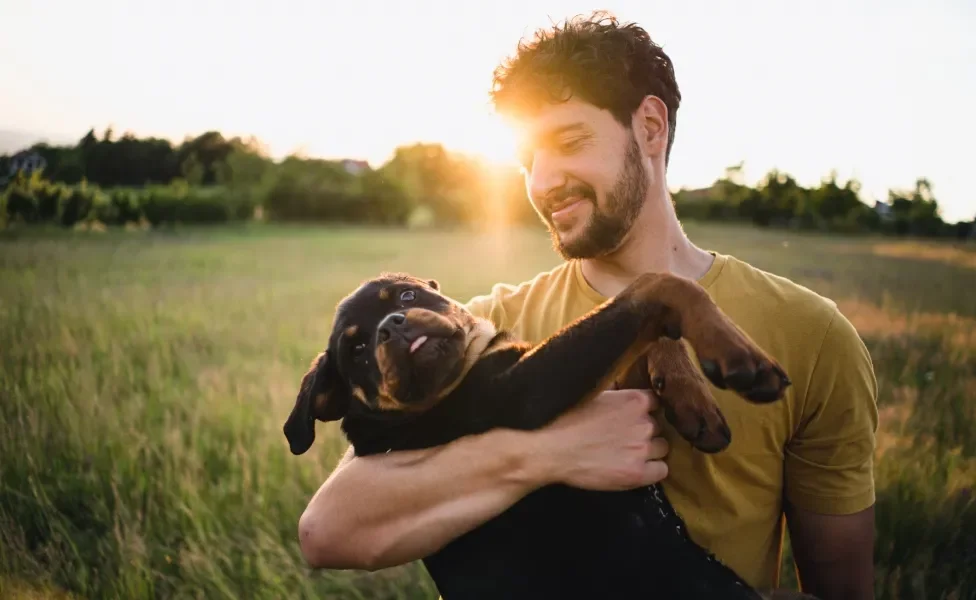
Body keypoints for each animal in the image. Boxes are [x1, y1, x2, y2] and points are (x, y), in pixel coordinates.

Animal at [284, 274, 816, 600]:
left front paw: (692, 399)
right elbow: (652, 285)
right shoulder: (529, 389)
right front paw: (739, 354)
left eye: (404, 298)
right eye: (356, 350)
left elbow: (652, 332)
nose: (390, 328)